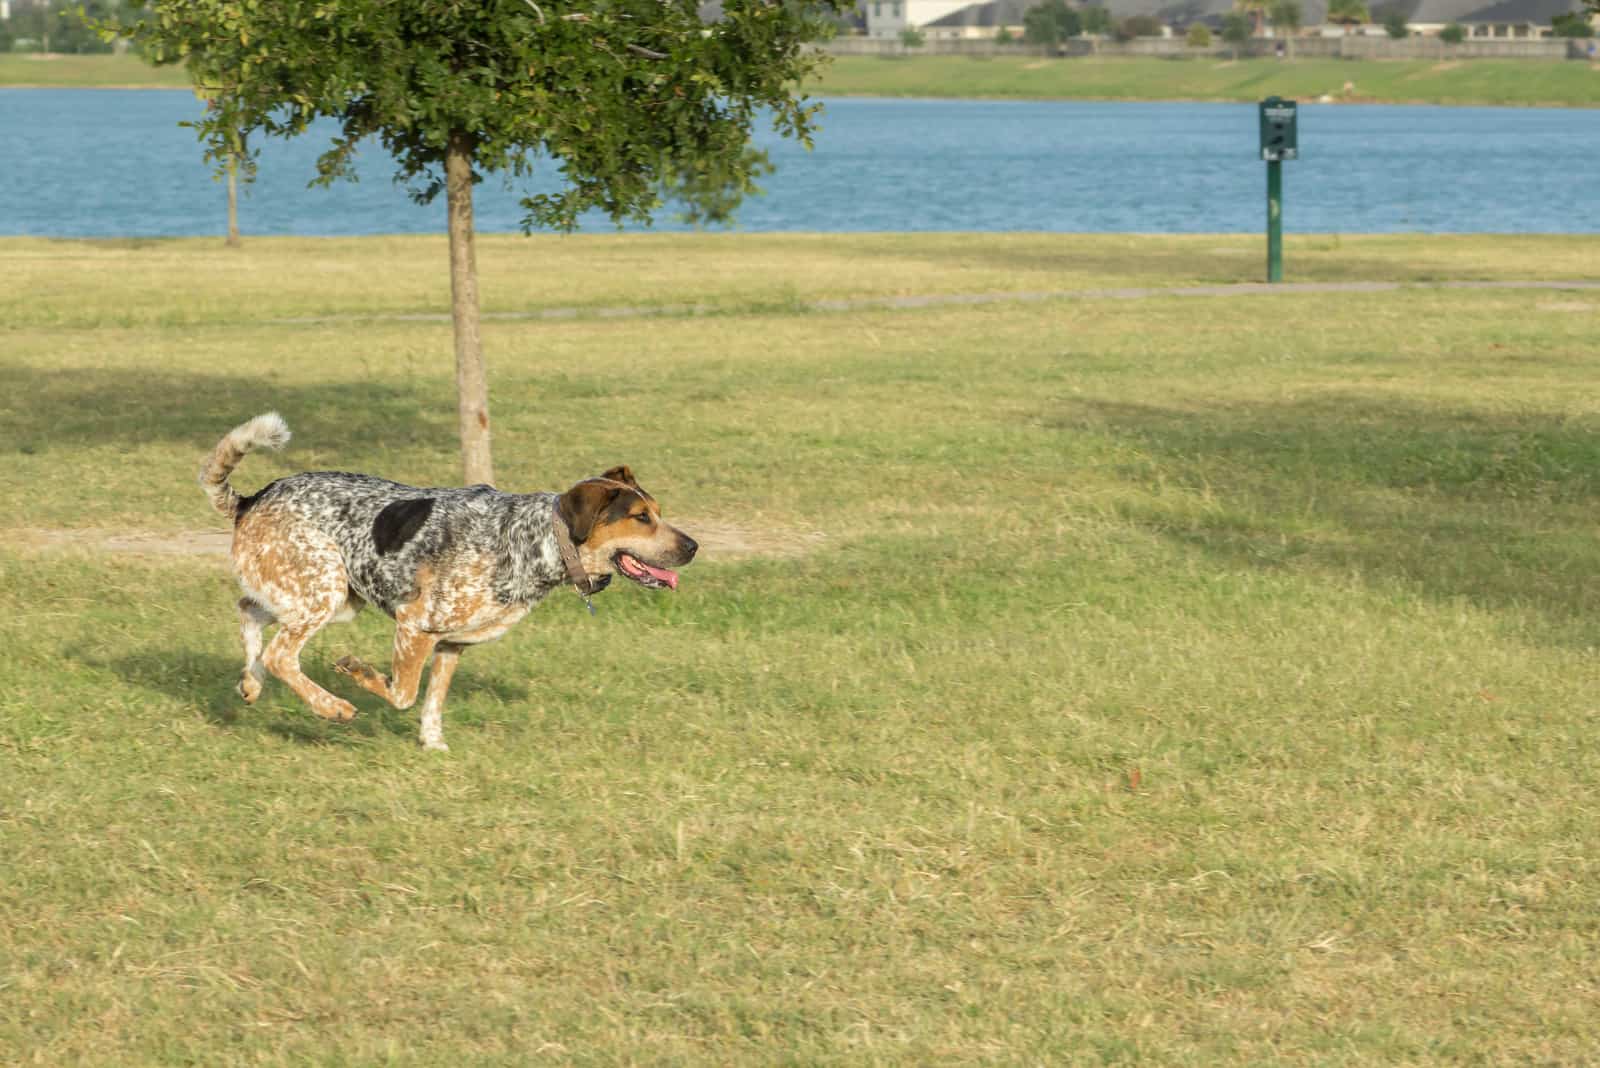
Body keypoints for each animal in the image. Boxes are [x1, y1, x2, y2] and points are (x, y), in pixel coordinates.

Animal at [196, 412, 697, 751]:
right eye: (641, 517)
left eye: (658, 511)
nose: (693, 546)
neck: (528, 539)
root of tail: (250, 499)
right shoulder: (416, 626)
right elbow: (403, 693)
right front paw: (360, 673)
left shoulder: (451, 644)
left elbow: (432, 702)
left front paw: (433, 746)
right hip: (326, 589)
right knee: (282, 654)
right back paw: (330, 705)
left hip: (331, 597)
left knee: (249, 612)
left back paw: (252, 683)